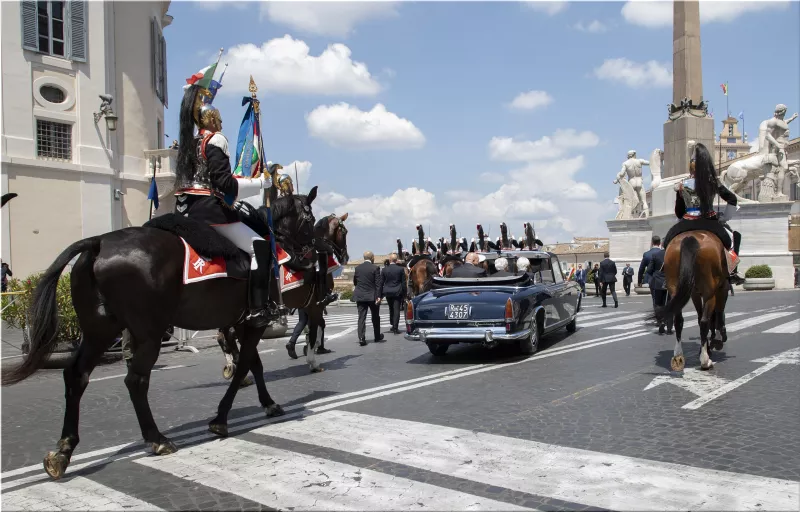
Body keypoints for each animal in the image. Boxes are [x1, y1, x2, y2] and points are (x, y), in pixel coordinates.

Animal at [2, 186, 346, 482]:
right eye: (309, 218)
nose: (319, 253)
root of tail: (98, 242)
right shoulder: (256, 322)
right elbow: (246, 366)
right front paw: (222, 418)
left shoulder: (244, 321)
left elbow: (253, 365)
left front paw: (268, 403)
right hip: (148, 333)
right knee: (135, 380)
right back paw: (156, 438)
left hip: (100, 331)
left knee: (77, 375)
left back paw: (63, 450)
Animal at [652, 232, 728, 372]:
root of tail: (690, 237)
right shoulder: (722, 286)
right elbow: (717, 313)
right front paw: (718, 339)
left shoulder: (694, 293)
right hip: (709, 291)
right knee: (705, 321)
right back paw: (705, 360)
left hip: (674, 286)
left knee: (678, 320)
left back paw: (678, 356)